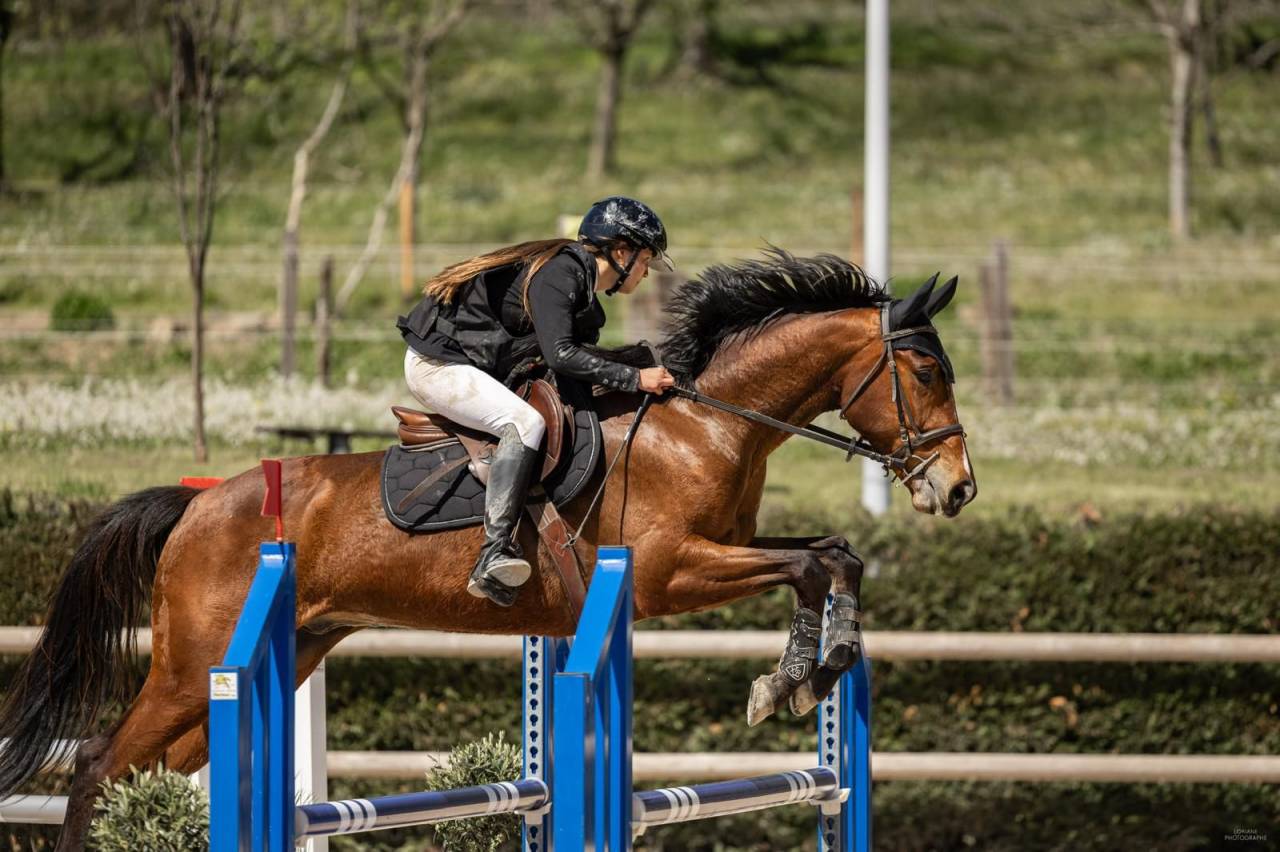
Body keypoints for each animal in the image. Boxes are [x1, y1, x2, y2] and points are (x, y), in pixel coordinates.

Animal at [0, 250, 975, 850]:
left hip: (289, 647)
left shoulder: (722, 550)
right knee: (98, 763)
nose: (957, 488)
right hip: (191, 663)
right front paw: (795, 676)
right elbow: (809, 563)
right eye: (927, 371)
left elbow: (833, 554)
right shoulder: (668, 574)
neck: (708, 423)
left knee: (156, 775)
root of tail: (200, 503)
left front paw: (813, 666)